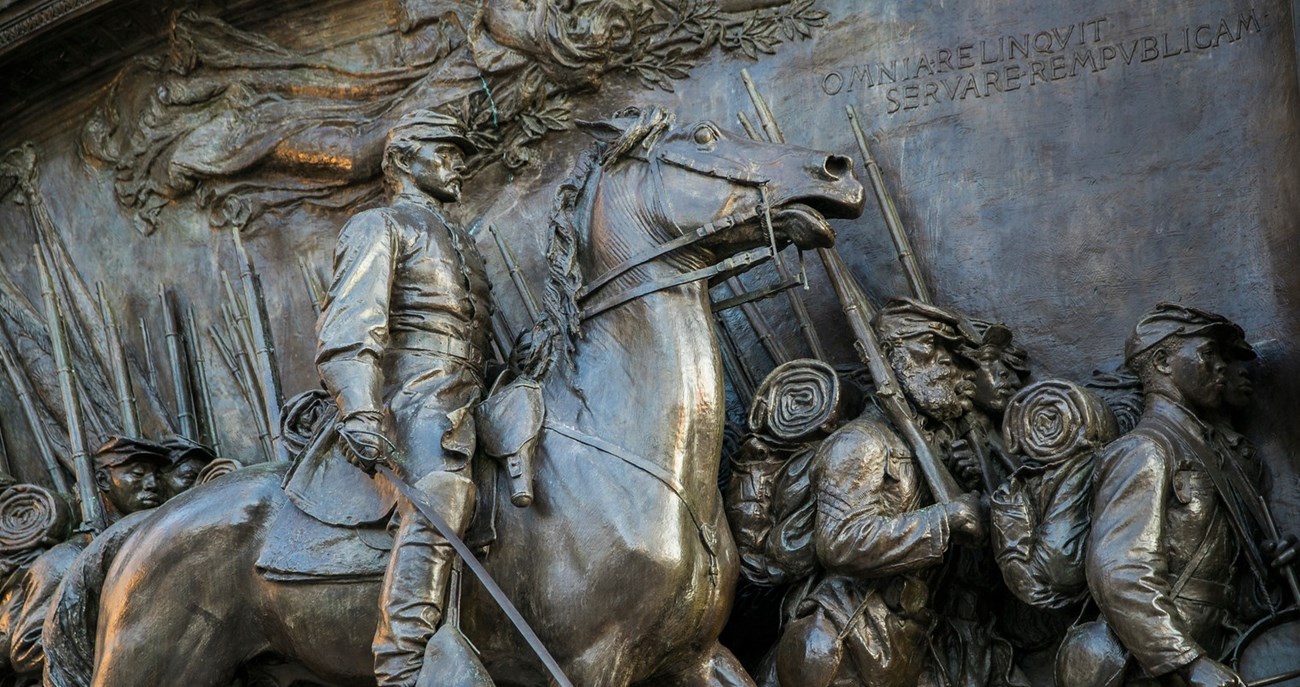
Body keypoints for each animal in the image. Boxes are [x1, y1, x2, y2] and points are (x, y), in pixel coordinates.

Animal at [48, 107, 863, 687]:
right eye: (706, 135)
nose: (837, 168)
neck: (626, 447)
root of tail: (141, 528)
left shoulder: (698, 654)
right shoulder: (595, 663)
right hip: (152, 662)